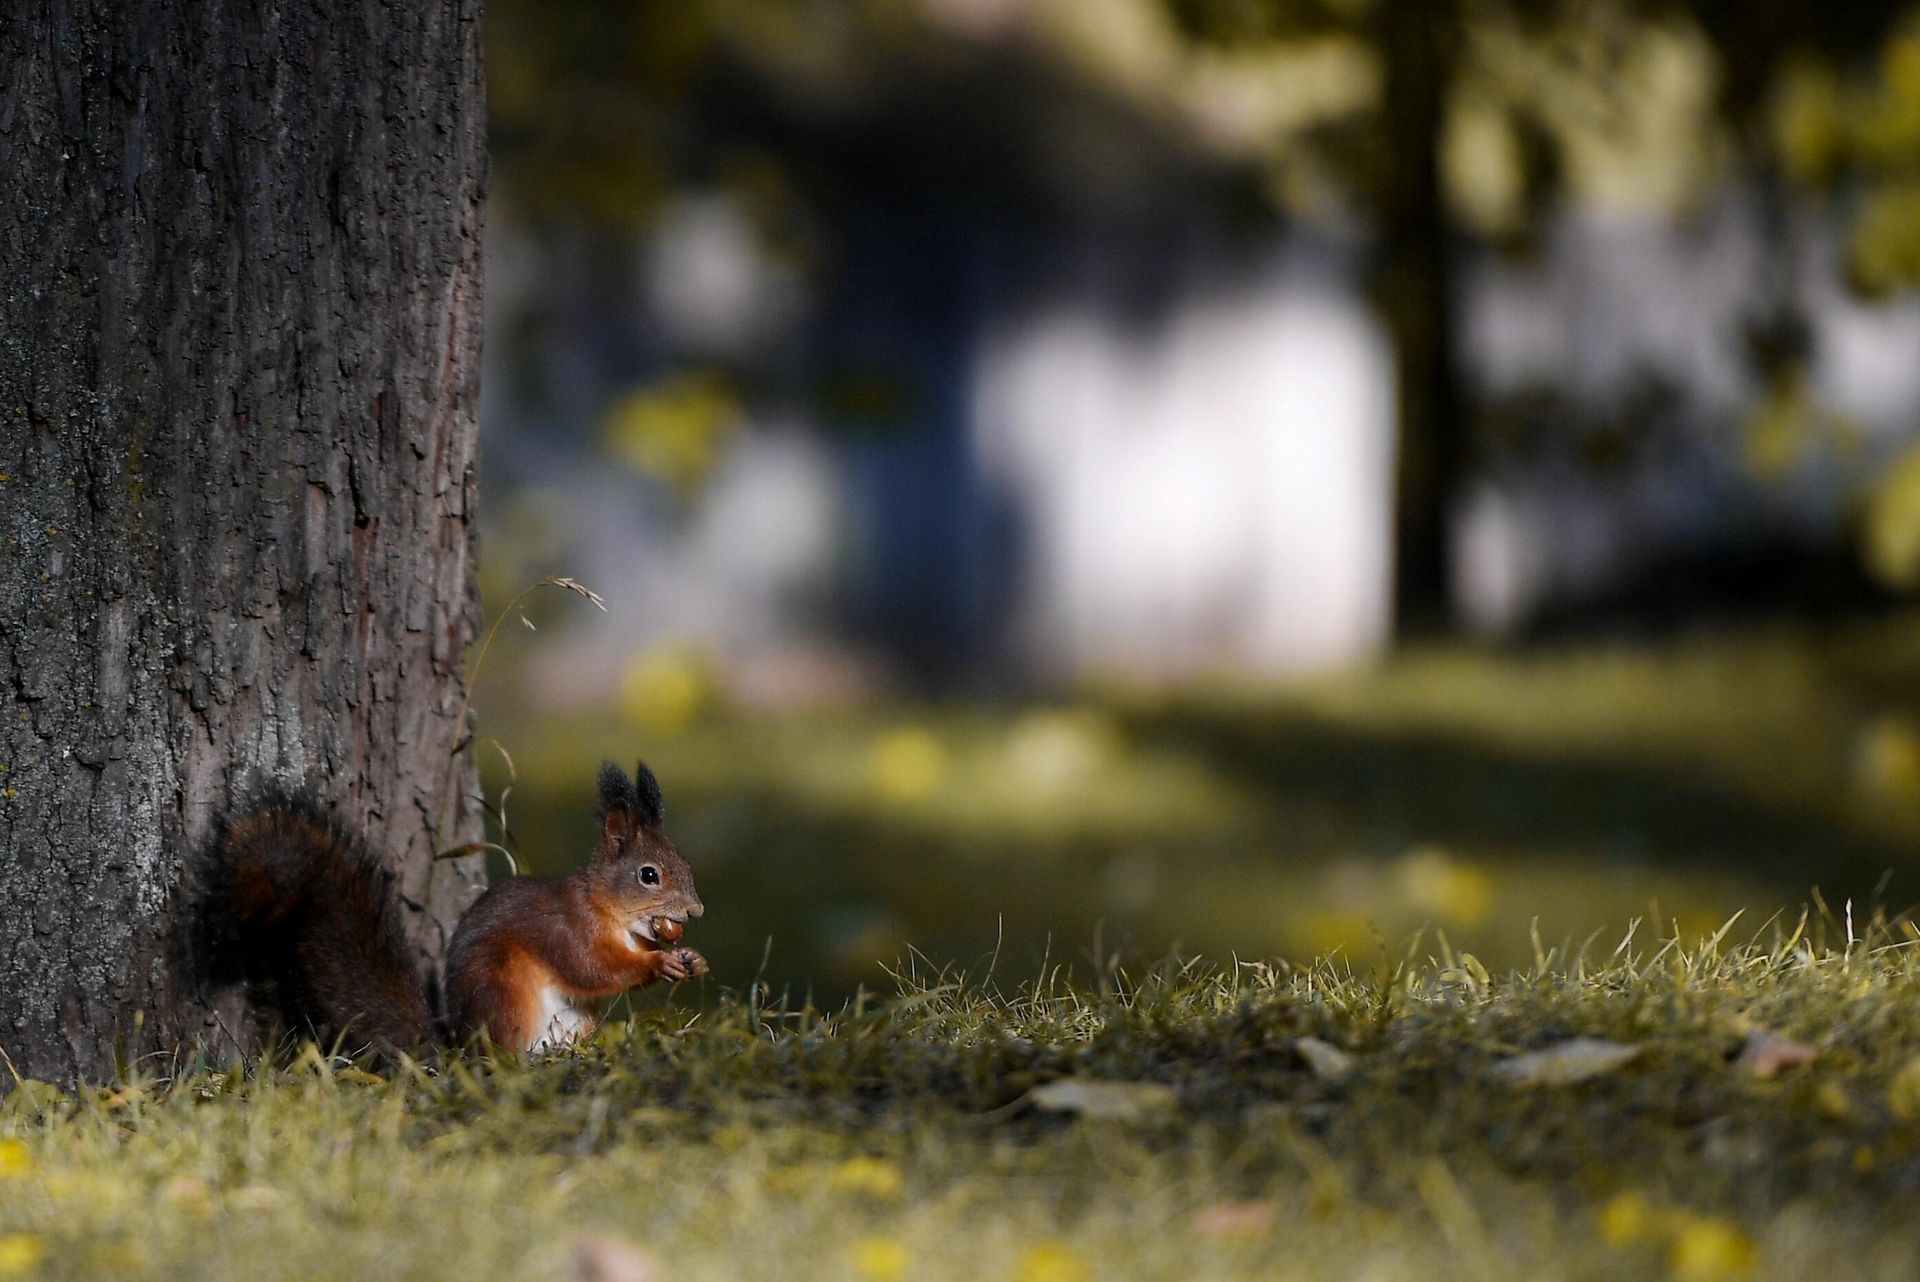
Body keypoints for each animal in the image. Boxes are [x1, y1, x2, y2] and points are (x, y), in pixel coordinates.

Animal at [215, 758, 707, 1055]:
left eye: (684, 861)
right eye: (649, 875)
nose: (696, 912)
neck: (605, 910)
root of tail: (460, 1056)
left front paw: (689, 957)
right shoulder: (567, 930)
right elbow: (593, 969)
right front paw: (660, 964)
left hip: (574, 1019)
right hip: (503, 992)